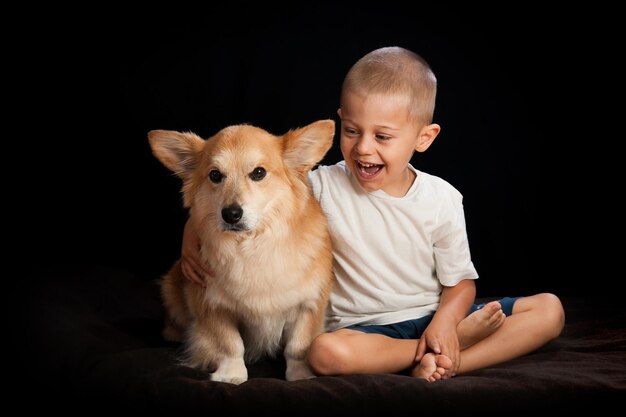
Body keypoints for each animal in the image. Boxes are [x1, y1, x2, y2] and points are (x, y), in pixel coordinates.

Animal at [147, 118, 334, 382]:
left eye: (259, 173)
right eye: (215, 175)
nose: (231, 214)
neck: (251, 248)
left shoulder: (309, 304)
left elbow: (298, 345)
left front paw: (301, 375)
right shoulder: (212, 306)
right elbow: (230, 343)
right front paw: (231, 374)